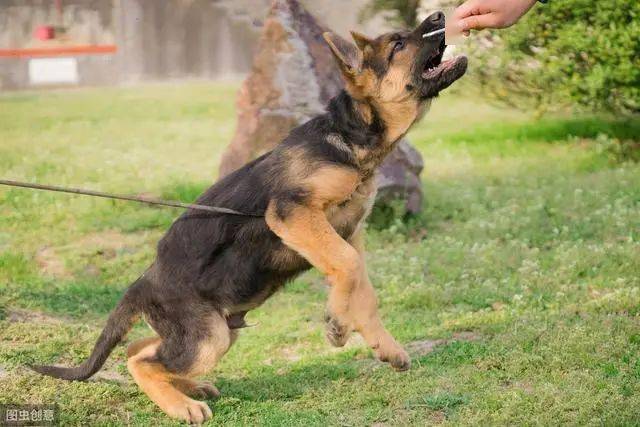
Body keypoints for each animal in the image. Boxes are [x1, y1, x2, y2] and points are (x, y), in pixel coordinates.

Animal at [31, 12, 464, 424]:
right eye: (398, 45)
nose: (441, 15)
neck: (349, 134)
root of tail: (145, 281)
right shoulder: (293, 213)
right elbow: (347, 266)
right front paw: (337, 325)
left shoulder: (349, 232)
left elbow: (362, 287)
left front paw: (382, 344)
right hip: (210, 339)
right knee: (142, 361)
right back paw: (183, 406)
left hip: (218, 331)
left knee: (139, 349)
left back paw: (191, 388)